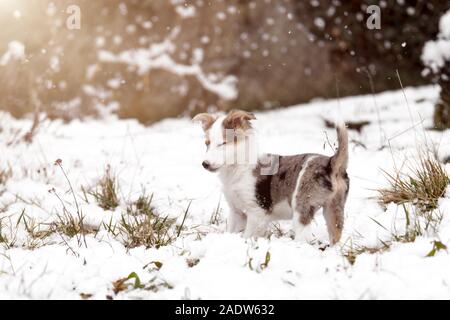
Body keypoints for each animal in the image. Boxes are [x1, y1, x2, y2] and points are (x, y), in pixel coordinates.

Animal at [192, 110, 350, 245]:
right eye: (207, 143)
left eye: (223, 143)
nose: (205, 164)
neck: (238, 168)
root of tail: (331, 163)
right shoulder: (236, 211)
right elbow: (231, 230)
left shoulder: (256, 212)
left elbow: (248, 236)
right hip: (334, 209)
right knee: (336, 235)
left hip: (302, 207)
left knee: (304, 237)